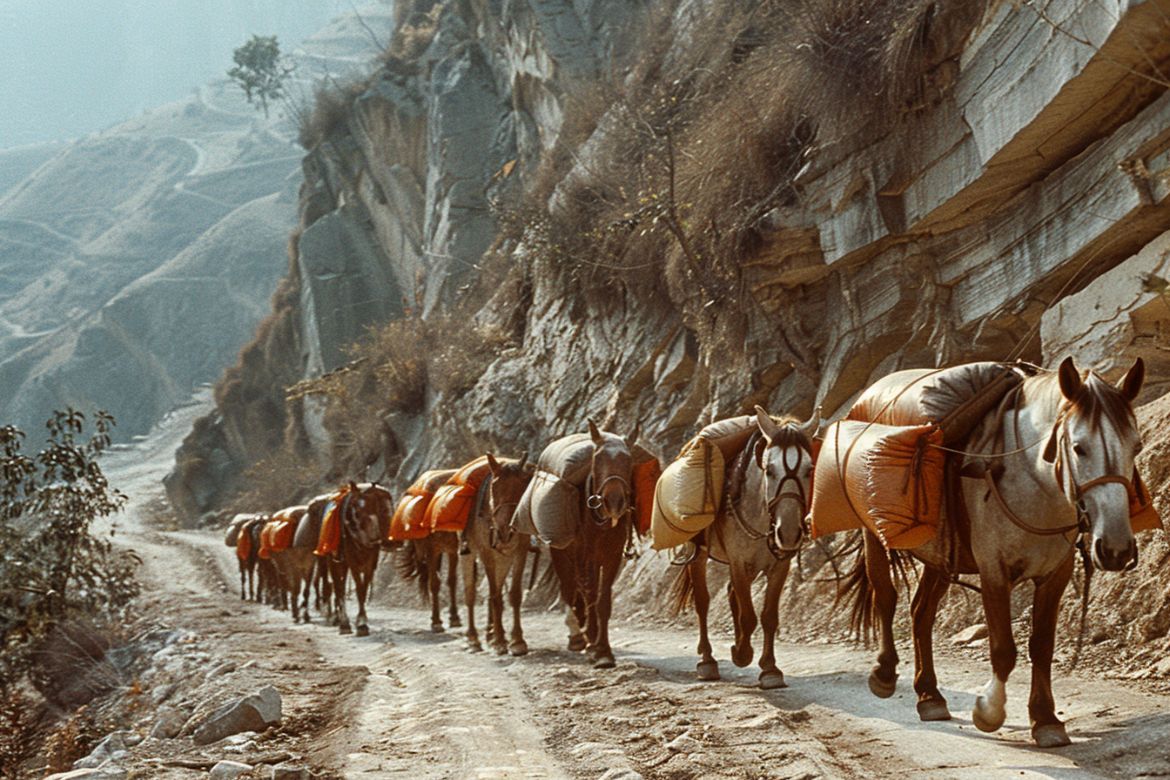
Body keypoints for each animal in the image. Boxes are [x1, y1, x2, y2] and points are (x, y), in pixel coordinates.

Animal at [463, 453, 535, 654]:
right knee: (470, 593)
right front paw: (501, 641)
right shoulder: (486, 554)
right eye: (494, 488)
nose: (505, 530)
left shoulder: (520, 551)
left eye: (521, 488)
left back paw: (490, 634)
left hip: (504, 560)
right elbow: (495, 595)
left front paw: (517, 641)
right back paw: (473, 639)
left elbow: (514, 594)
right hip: (469, 554)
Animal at [673, 409, 819, 687]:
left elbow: (769, 616)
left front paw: (770, 669)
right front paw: (742, 654)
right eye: (769, 470)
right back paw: (707, 660)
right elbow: (748, 616)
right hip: (699, 555)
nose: (788, 533)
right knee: (703, 602)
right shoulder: (739, 563)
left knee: (731, 594)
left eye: (809, 469)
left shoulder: (779, 565)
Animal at [847, 357, 1146, 748]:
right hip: (874, 534)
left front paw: (1045, 719)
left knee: (920, 613)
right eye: (1079, 447)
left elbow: (1042, 646)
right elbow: (1003, 649)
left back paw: (930, 696)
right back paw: (884, 674)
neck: (1033, 482)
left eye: (1135, 447)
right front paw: (989, 711)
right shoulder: (994, 571)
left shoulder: (1055, 575)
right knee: (885, 596)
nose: (1115, 549)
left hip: (942, 556)